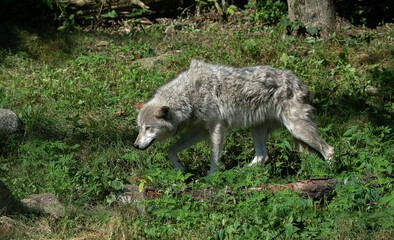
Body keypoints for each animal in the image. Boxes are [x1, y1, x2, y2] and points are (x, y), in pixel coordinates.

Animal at [134, 59, 334, 175]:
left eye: (148, 128)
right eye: (140, 128)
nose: (135, 145)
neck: (189, 96)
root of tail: (301, 84)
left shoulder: (216, 127)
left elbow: (214, 157)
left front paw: (211, 177)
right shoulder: (199, 132)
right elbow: (171, 150)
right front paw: (180, 168)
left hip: (298, 130)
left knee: (329, 150)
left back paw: (331, 174)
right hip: (257, 130)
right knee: (262, 157)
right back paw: (238, 173)